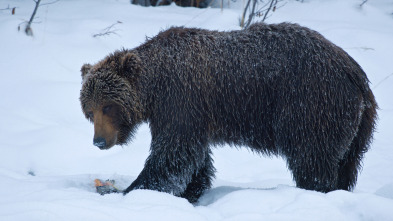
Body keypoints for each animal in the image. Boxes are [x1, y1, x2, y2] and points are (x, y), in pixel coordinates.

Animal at [79, 22, 376, 204]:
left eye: (108, 106)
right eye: (89, 111)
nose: (99, 141)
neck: (155, 87)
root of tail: (353, 72)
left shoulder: (181, 102)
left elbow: (172, 157)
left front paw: (126, 190)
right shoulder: (193, 115)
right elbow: (195, 160)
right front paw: (190, 192)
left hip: (311, 105)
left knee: (312, 159)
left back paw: (314, 190)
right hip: (356, 128)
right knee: (346, 165)